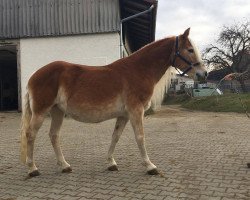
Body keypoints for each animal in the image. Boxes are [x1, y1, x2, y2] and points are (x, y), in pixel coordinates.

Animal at [20, 28, 207, 177]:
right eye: (190, 49)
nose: (203, 74)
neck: (139, 70)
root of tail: (34, 76)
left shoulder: (124, 115)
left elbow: (115, 137)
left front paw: (111, 163)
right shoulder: (135, 111)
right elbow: (140, 137)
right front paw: (150, 166)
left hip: (57, 111)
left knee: (53, 135)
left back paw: (64, 166)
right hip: (40, 112)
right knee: (31, 134)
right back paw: (32, 168)